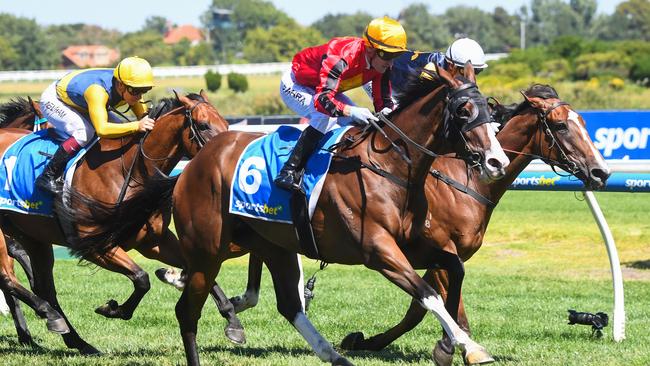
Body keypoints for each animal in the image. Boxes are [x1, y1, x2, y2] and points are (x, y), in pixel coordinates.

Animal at [0, 90, 228, 354]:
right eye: (203, 125)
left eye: (225, 123)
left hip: (33, 236)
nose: (221, 153)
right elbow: (142, 278)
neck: (130, 171)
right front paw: (113, 309)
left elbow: (197, 269)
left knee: (43, 286)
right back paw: (50, 318)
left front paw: (232, 318)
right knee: (9, 278)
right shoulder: (94, 247)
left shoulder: (154, 242)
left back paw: (75, 339)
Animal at [69, 62, 506, 364]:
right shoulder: (377, 251)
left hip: (272, 244)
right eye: (464, 110)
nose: (497, 162)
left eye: (491, 108)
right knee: (187, 310)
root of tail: (188, 170)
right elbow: (429, 294)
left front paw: (456, 344)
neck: (393, 167)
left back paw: (334, 354)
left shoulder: (415, 245)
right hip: (209, 248)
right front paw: (465, 345)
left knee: (289, 305)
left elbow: (454, 273)